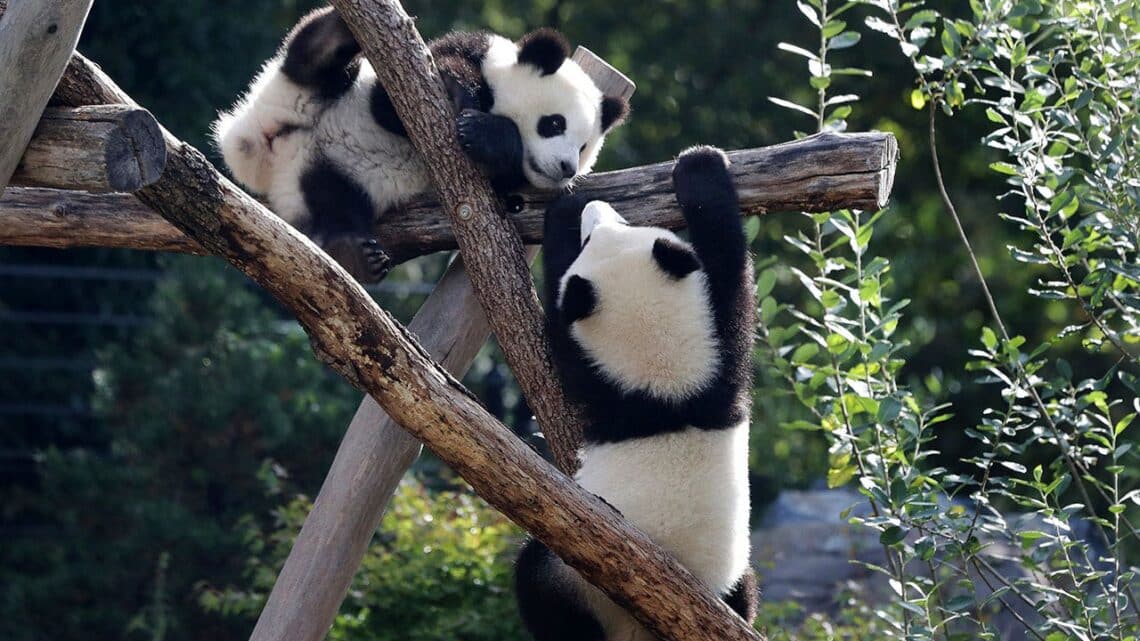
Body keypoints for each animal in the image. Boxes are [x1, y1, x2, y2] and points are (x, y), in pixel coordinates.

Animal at [213, 6, 630, 281]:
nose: (566, 169)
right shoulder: (448, 57)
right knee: (311, 60)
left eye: (584, 147)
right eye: (554, 124)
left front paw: (487, 136)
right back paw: (336, 29)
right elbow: (389, 105)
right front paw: (460, 94)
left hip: (324, 179)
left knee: (335, 205)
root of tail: (266, 148)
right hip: (300, 92)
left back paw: (354, 254)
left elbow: (503, 181)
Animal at [515, 145, 757, 641]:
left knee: (535, 576)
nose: (595, 208)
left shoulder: (594, 379)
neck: (664, 381)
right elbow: (730, 266)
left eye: (594, 238)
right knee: (745, 589)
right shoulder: (723, 352)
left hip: (577, 574)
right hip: (729, 578)